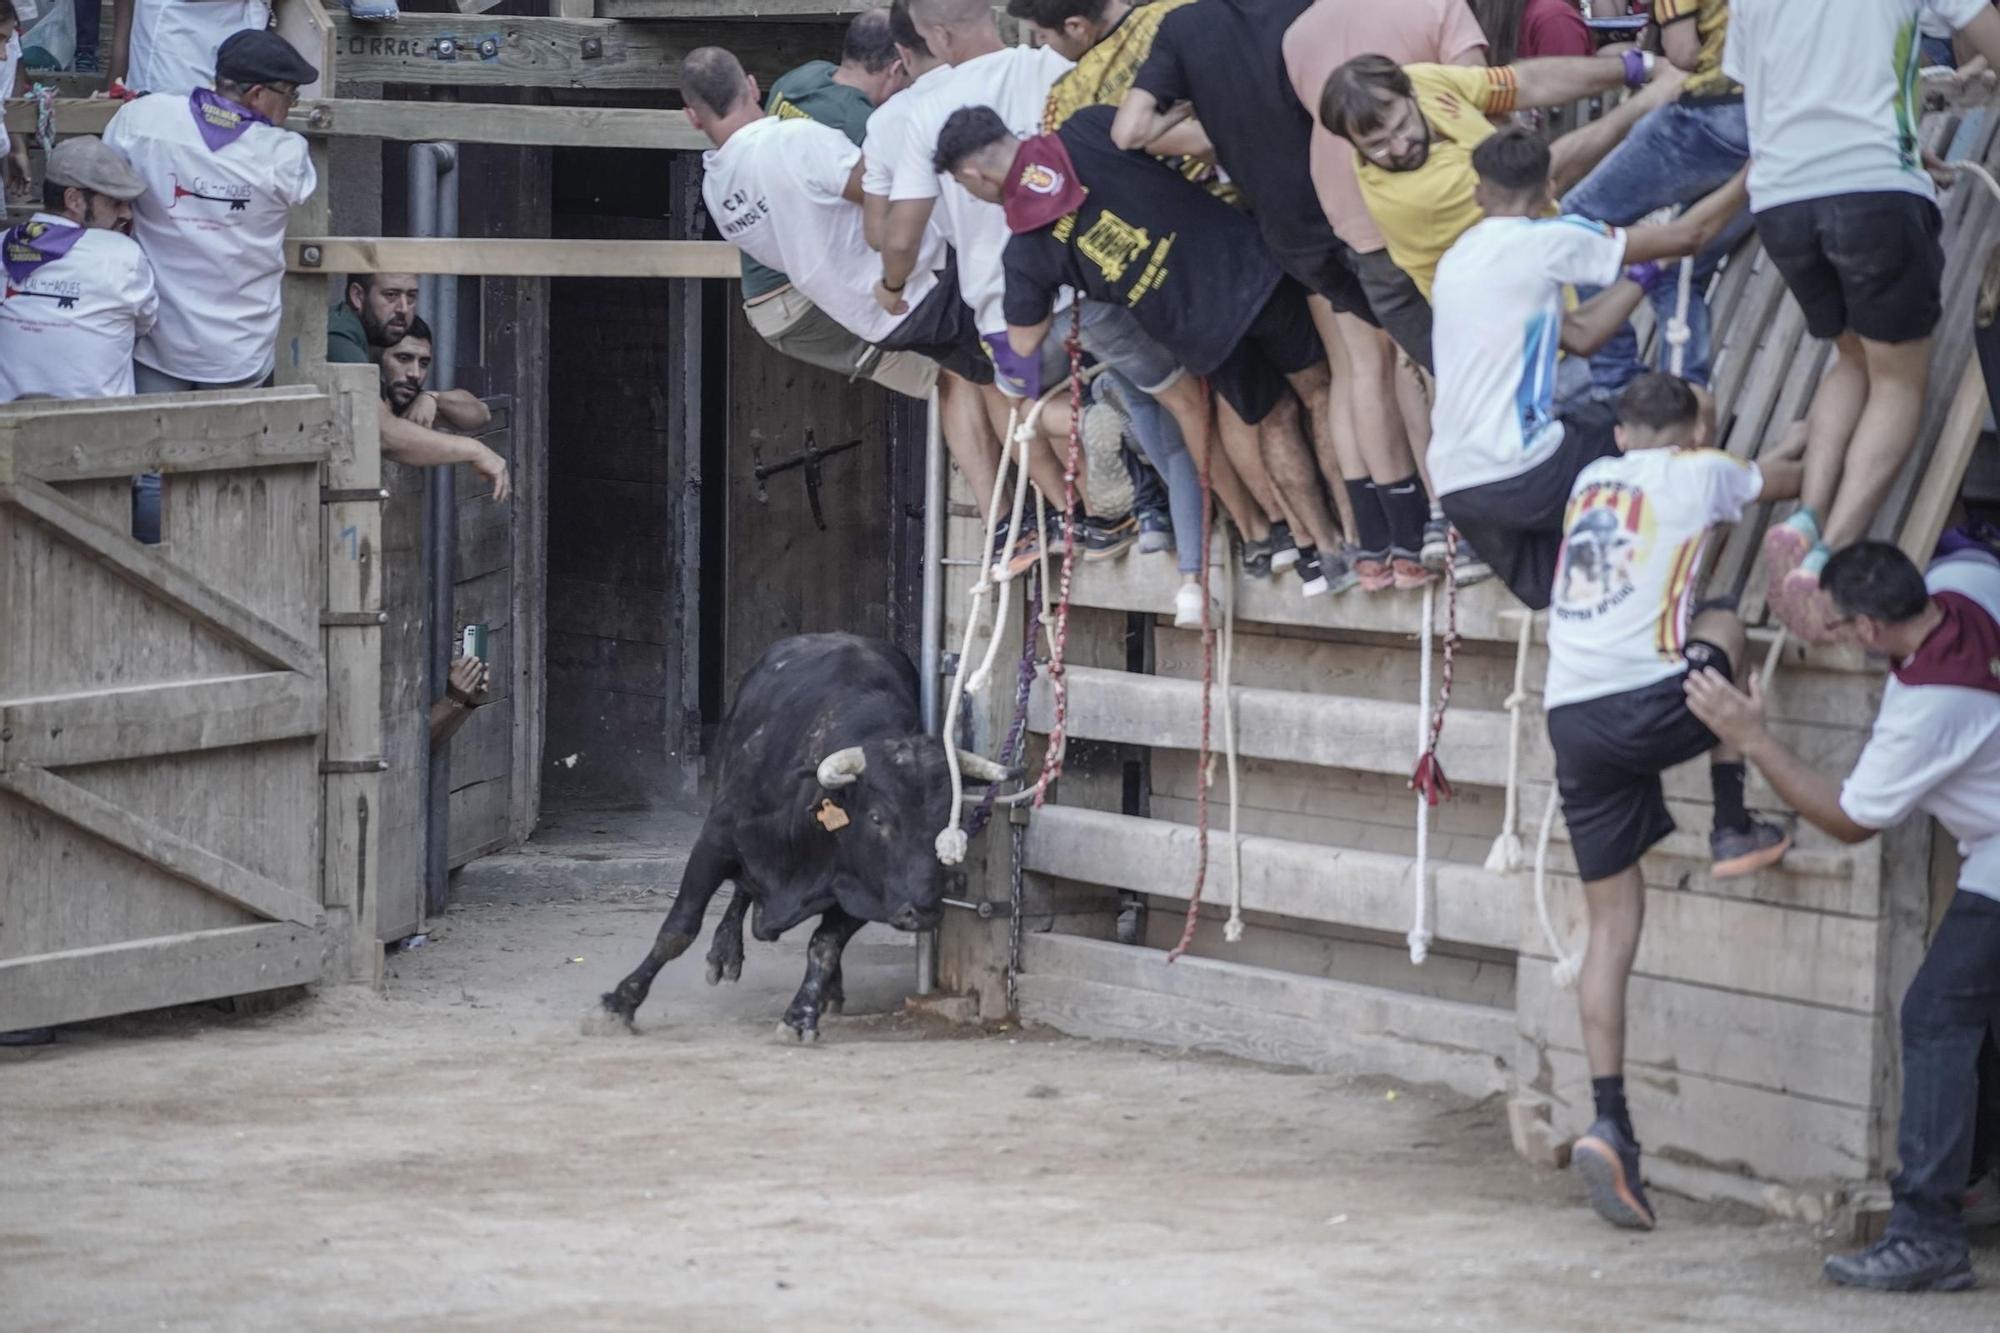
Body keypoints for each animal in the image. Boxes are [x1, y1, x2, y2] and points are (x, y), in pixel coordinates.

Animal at [588, 632, 1000, 1040]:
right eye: (877, 817)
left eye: (950, 821)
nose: (924, 911)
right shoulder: (715, 841)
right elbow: (679, 929)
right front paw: (620, 1004)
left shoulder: (867, 889)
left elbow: (824, 946)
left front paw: (802, 1014)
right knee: (739, 891)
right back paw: (725, 953)